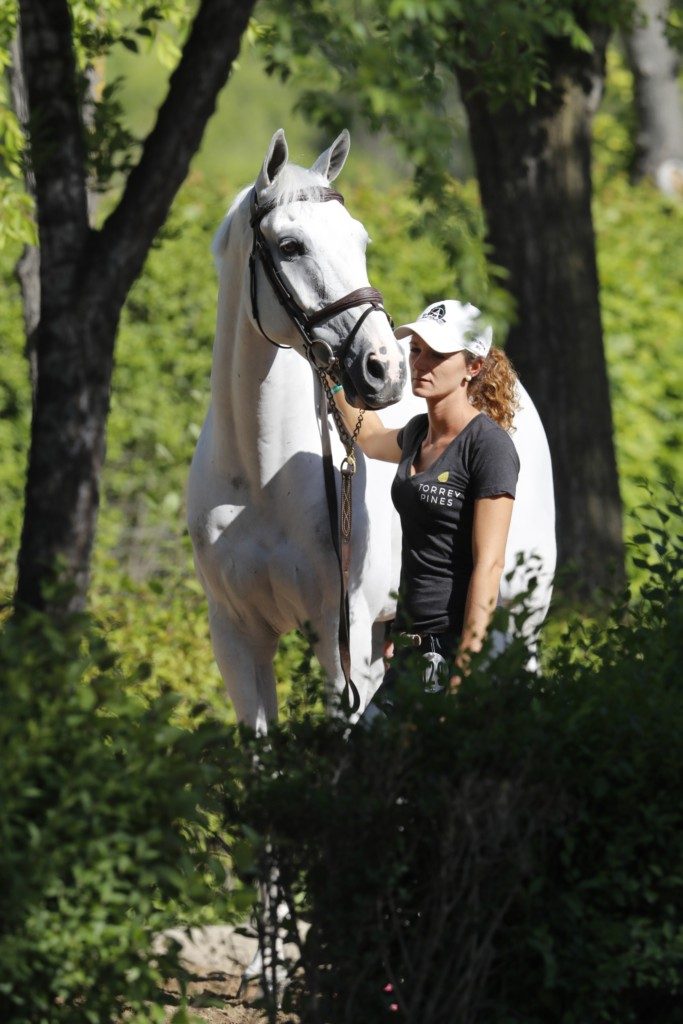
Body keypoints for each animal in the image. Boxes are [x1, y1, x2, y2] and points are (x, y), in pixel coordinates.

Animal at [188, 130, 557, 737]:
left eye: (359, 239)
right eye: (290, 246)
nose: (383, 368)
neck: (260, 482)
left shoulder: (340, 638)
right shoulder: (236, 639)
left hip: (522, 609)